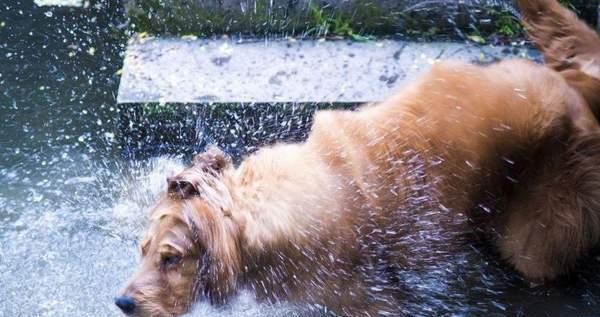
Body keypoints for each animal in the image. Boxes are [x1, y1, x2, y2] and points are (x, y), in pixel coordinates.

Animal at [115, 1, 600, 314]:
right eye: (142, 250)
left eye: (171, 258)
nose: (121, 302)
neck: (262, 211)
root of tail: (578, 85)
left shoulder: (368, 299)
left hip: (540, 236)